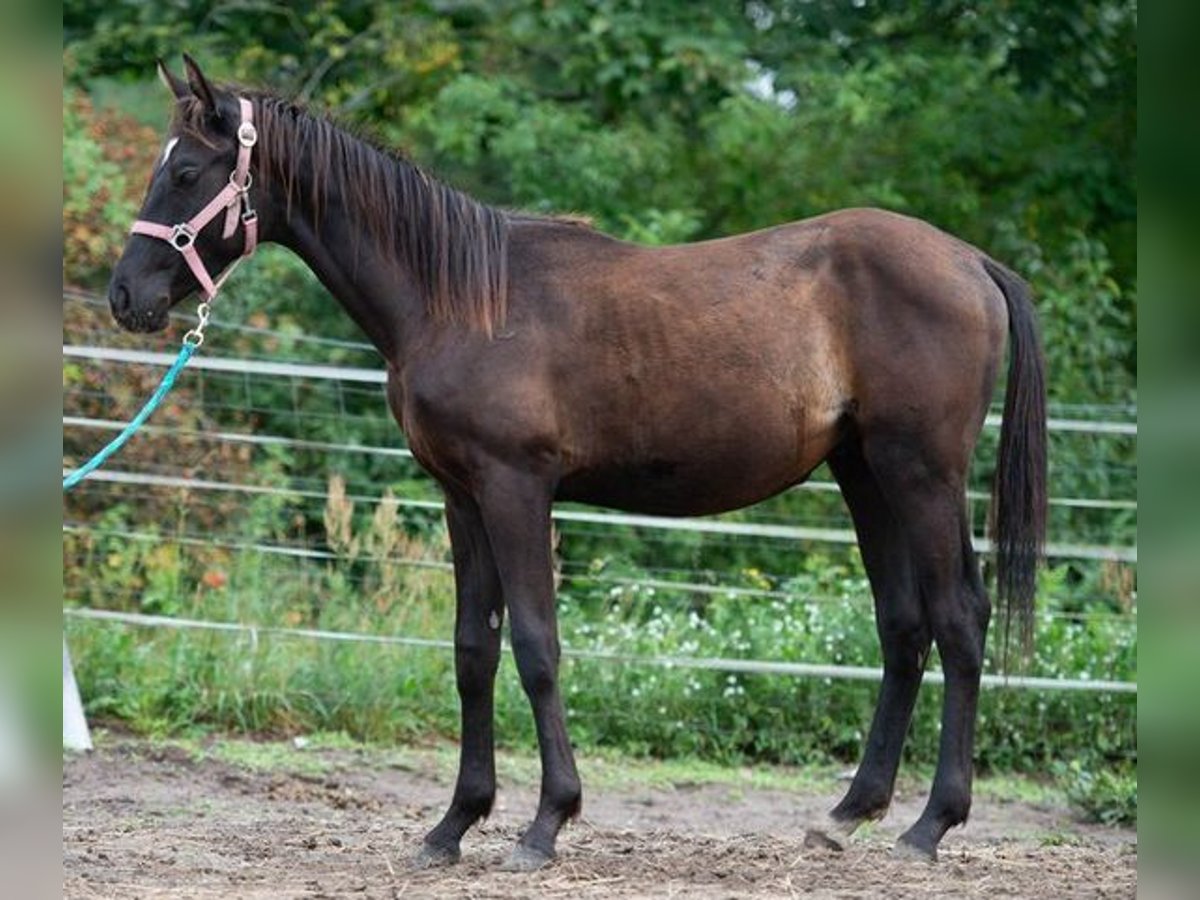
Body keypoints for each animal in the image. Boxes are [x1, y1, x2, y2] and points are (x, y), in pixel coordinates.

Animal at [108, 58, 1046, 873]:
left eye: (186, 171)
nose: (127, 297)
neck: (459, 297)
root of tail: (971, 261)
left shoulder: (515, 488)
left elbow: (535, 644)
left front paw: (545, 824)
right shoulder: (462, 497)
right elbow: (472, 651)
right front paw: (453, 826)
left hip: (920, 474)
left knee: (959, 618)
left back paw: (930, 826)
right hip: (864, 474)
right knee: (904, 627)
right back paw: (847, 815)